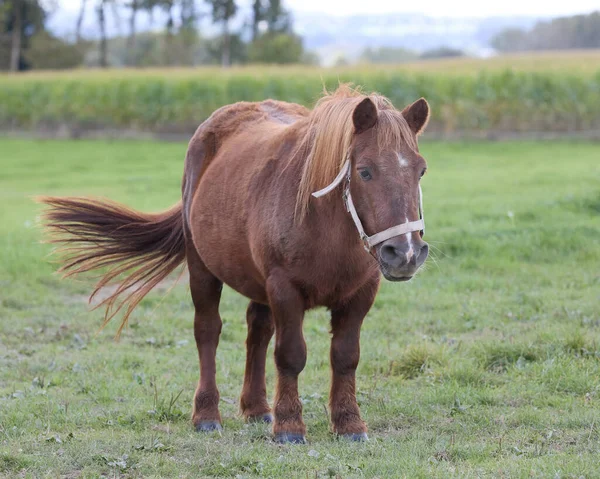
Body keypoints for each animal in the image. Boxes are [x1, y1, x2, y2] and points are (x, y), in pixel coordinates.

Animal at [38, 84, 432, 444]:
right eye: (364, 171)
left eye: (421, 171)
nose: (405, 252)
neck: (325, 223)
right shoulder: (284, 289)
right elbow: (290, 355)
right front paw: (289, 426)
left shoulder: (360, 294)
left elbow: (345, 356)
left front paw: (349, 424)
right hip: (202, 269)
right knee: (208, 331)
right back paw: (207, 414)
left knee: (257, 332)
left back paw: (257, 408)